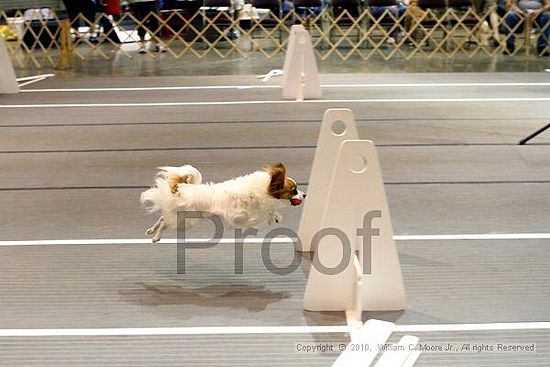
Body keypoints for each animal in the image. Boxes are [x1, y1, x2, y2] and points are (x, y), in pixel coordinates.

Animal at [141, 164, 306, 244]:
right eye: (293, 190)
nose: (305, 195)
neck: (262, 190)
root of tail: (181, 188)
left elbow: (270, 211)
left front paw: (275, 216)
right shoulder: (240, 217)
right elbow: (260, 215)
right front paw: (271, 216)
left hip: (179, 216)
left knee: (163, 218)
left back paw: (151, 230)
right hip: (184, 221)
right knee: (165, 223)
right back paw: (156, 237)